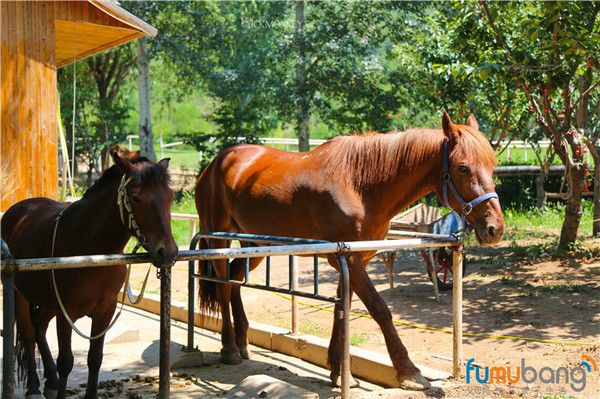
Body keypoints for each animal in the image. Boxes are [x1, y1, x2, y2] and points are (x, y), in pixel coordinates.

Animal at [0, 154, 178, 399]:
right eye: (136, 198)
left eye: (170, 197)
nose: (167, 252)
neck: (92, 251)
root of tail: (17, 210)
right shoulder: (66, 312)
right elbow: (66, 362)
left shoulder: (104, 312)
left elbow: (95, 359)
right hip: (20, 293)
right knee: (28, 333)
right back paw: (34, 387)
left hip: (47, 302)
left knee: (39, 327)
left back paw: (51, 381)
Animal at [195, 111, 504, 390]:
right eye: (462, 167)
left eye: (492, 166)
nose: (495, 228)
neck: (359, 184)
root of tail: (217, 162)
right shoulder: (349, 259)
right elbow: (379, 309)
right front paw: (408, 372)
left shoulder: (355, 258)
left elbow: (341, 310)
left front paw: (338, 371)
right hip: (218, 239)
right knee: (221, 285)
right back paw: (229, 348)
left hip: (255, 244)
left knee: (234, 281)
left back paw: (242, 341)